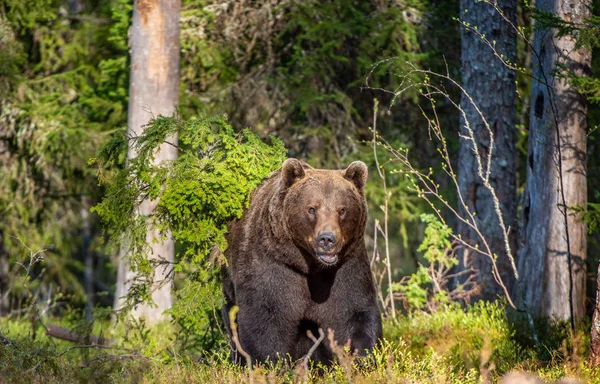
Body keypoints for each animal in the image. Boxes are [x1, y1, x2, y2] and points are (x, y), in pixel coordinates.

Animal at [223, 158, 382, 366]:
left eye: (342, 209)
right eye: (312, 208)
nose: (327, 239)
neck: (311, 266)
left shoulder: (346, 268)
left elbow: (353, 314)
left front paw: (362, 359)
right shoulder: (273, 265)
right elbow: (266, 319)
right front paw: (271, 363)